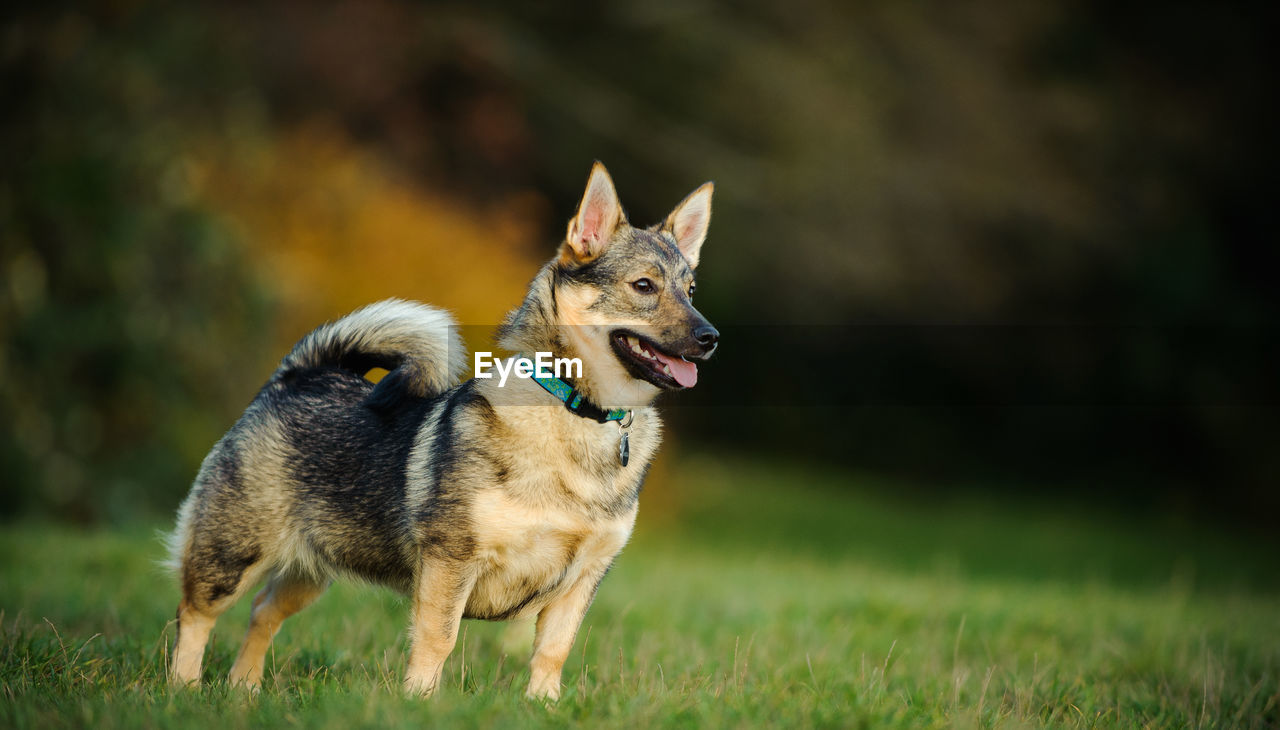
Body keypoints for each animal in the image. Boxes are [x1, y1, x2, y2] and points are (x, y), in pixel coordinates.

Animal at [165, 162, 716, 696]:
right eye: (643, 286)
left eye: (690, 292)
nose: (711, 336)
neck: (578, 411)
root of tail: (300, 375)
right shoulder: (451, 561)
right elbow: (438, 639)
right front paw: (420, 702)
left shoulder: (583, 579)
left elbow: (552, 653)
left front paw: (543, 706)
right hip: (231, 553)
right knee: (194, 614)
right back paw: (184, 688)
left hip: (310, 568)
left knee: (263, 612)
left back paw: (244, 689)